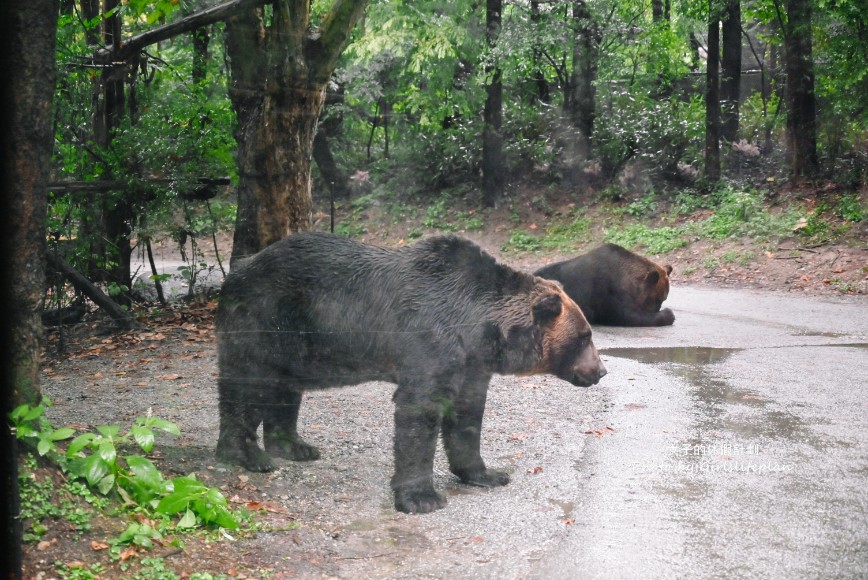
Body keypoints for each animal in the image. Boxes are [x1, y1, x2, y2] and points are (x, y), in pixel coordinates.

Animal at [214, 231, 608, 512]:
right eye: (585, 335)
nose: (601, 370)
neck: (477, 326)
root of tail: (237, 270)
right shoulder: (429, 339)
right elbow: (419, 413)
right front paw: (421, 497)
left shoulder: (471, 364)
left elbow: (467, 417)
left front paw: (487, 473)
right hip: (264, 319)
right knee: (248, 385)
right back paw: (247, 455)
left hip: (297, 344)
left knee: (283, 389)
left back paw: (295, 447)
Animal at [536, 244, 680, 328]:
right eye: (658, 299)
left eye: (663, 299)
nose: (657, 308)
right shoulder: (605, 290)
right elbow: (627, 315)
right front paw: (668, 314)